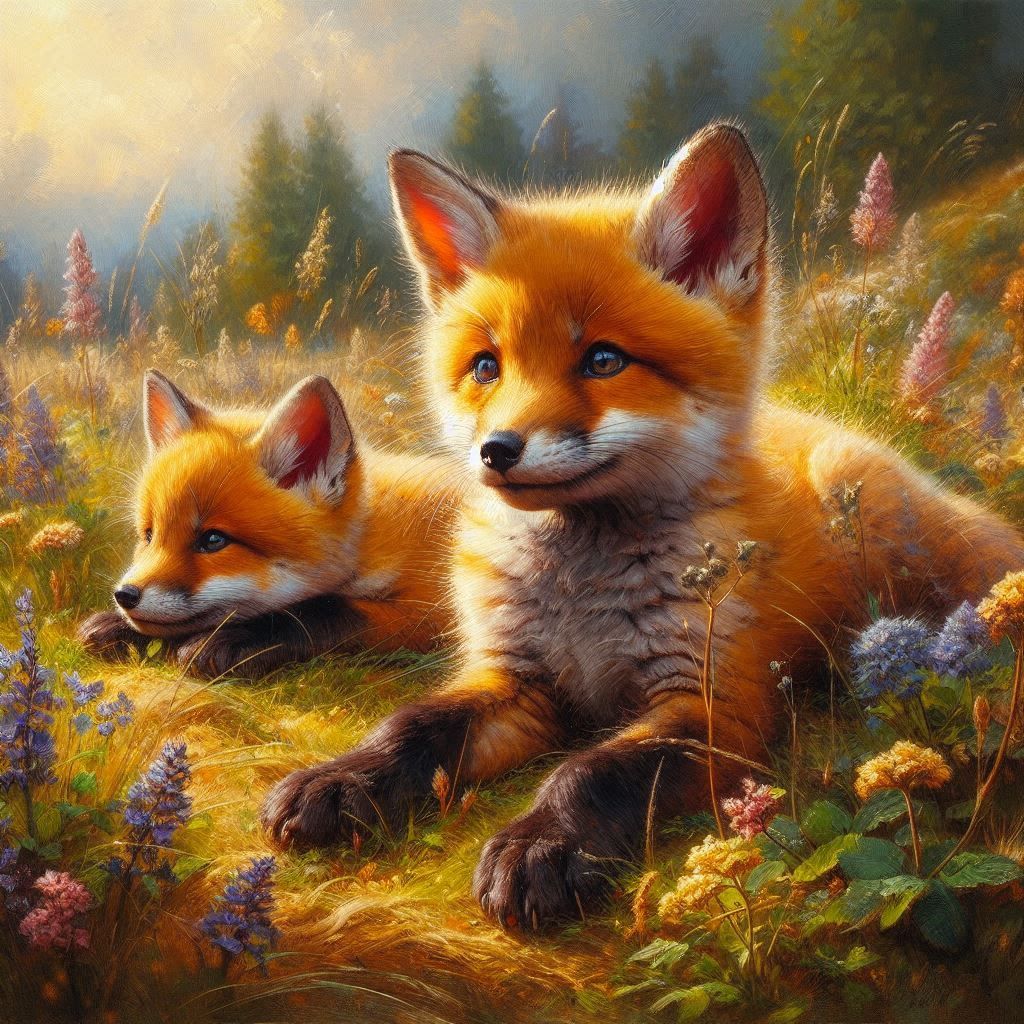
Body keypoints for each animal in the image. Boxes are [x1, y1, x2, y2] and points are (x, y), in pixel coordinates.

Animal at [79, 370, 459, 678]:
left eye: (214, 540)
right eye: (149, 535)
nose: (124, 595)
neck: (369, 539)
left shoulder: (432, 612)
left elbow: (323, 610)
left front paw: (232, 640)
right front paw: (118, 626)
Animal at [261, 123, 1024, 929]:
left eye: (603, 360)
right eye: (486, 367)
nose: (496, 450)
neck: (581, 597)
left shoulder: (716, 708)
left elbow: (593, 771)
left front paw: (539, 845)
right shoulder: (518, 679)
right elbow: (411, 726)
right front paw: (342, 780)